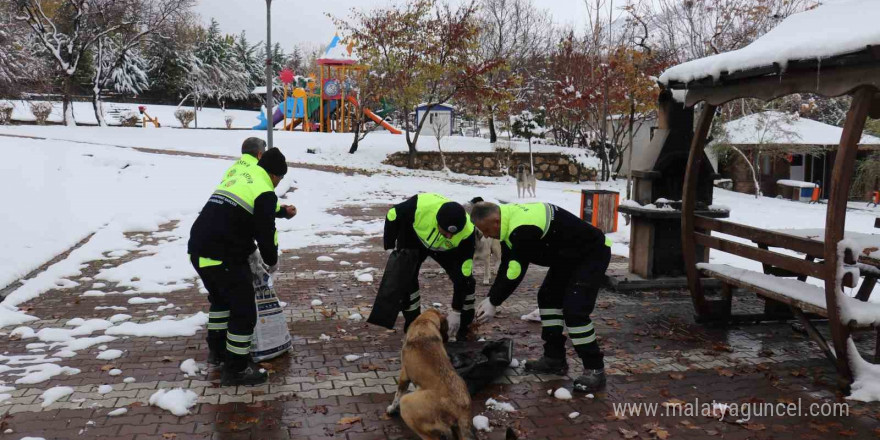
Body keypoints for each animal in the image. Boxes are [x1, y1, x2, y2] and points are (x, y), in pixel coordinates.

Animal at [386, 310, 474, 440]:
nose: (447, 339)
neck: (425, 322)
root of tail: (461, 409)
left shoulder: (404, 374)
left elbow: (397, 394)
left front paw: (391, 409)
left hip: (406, 402)